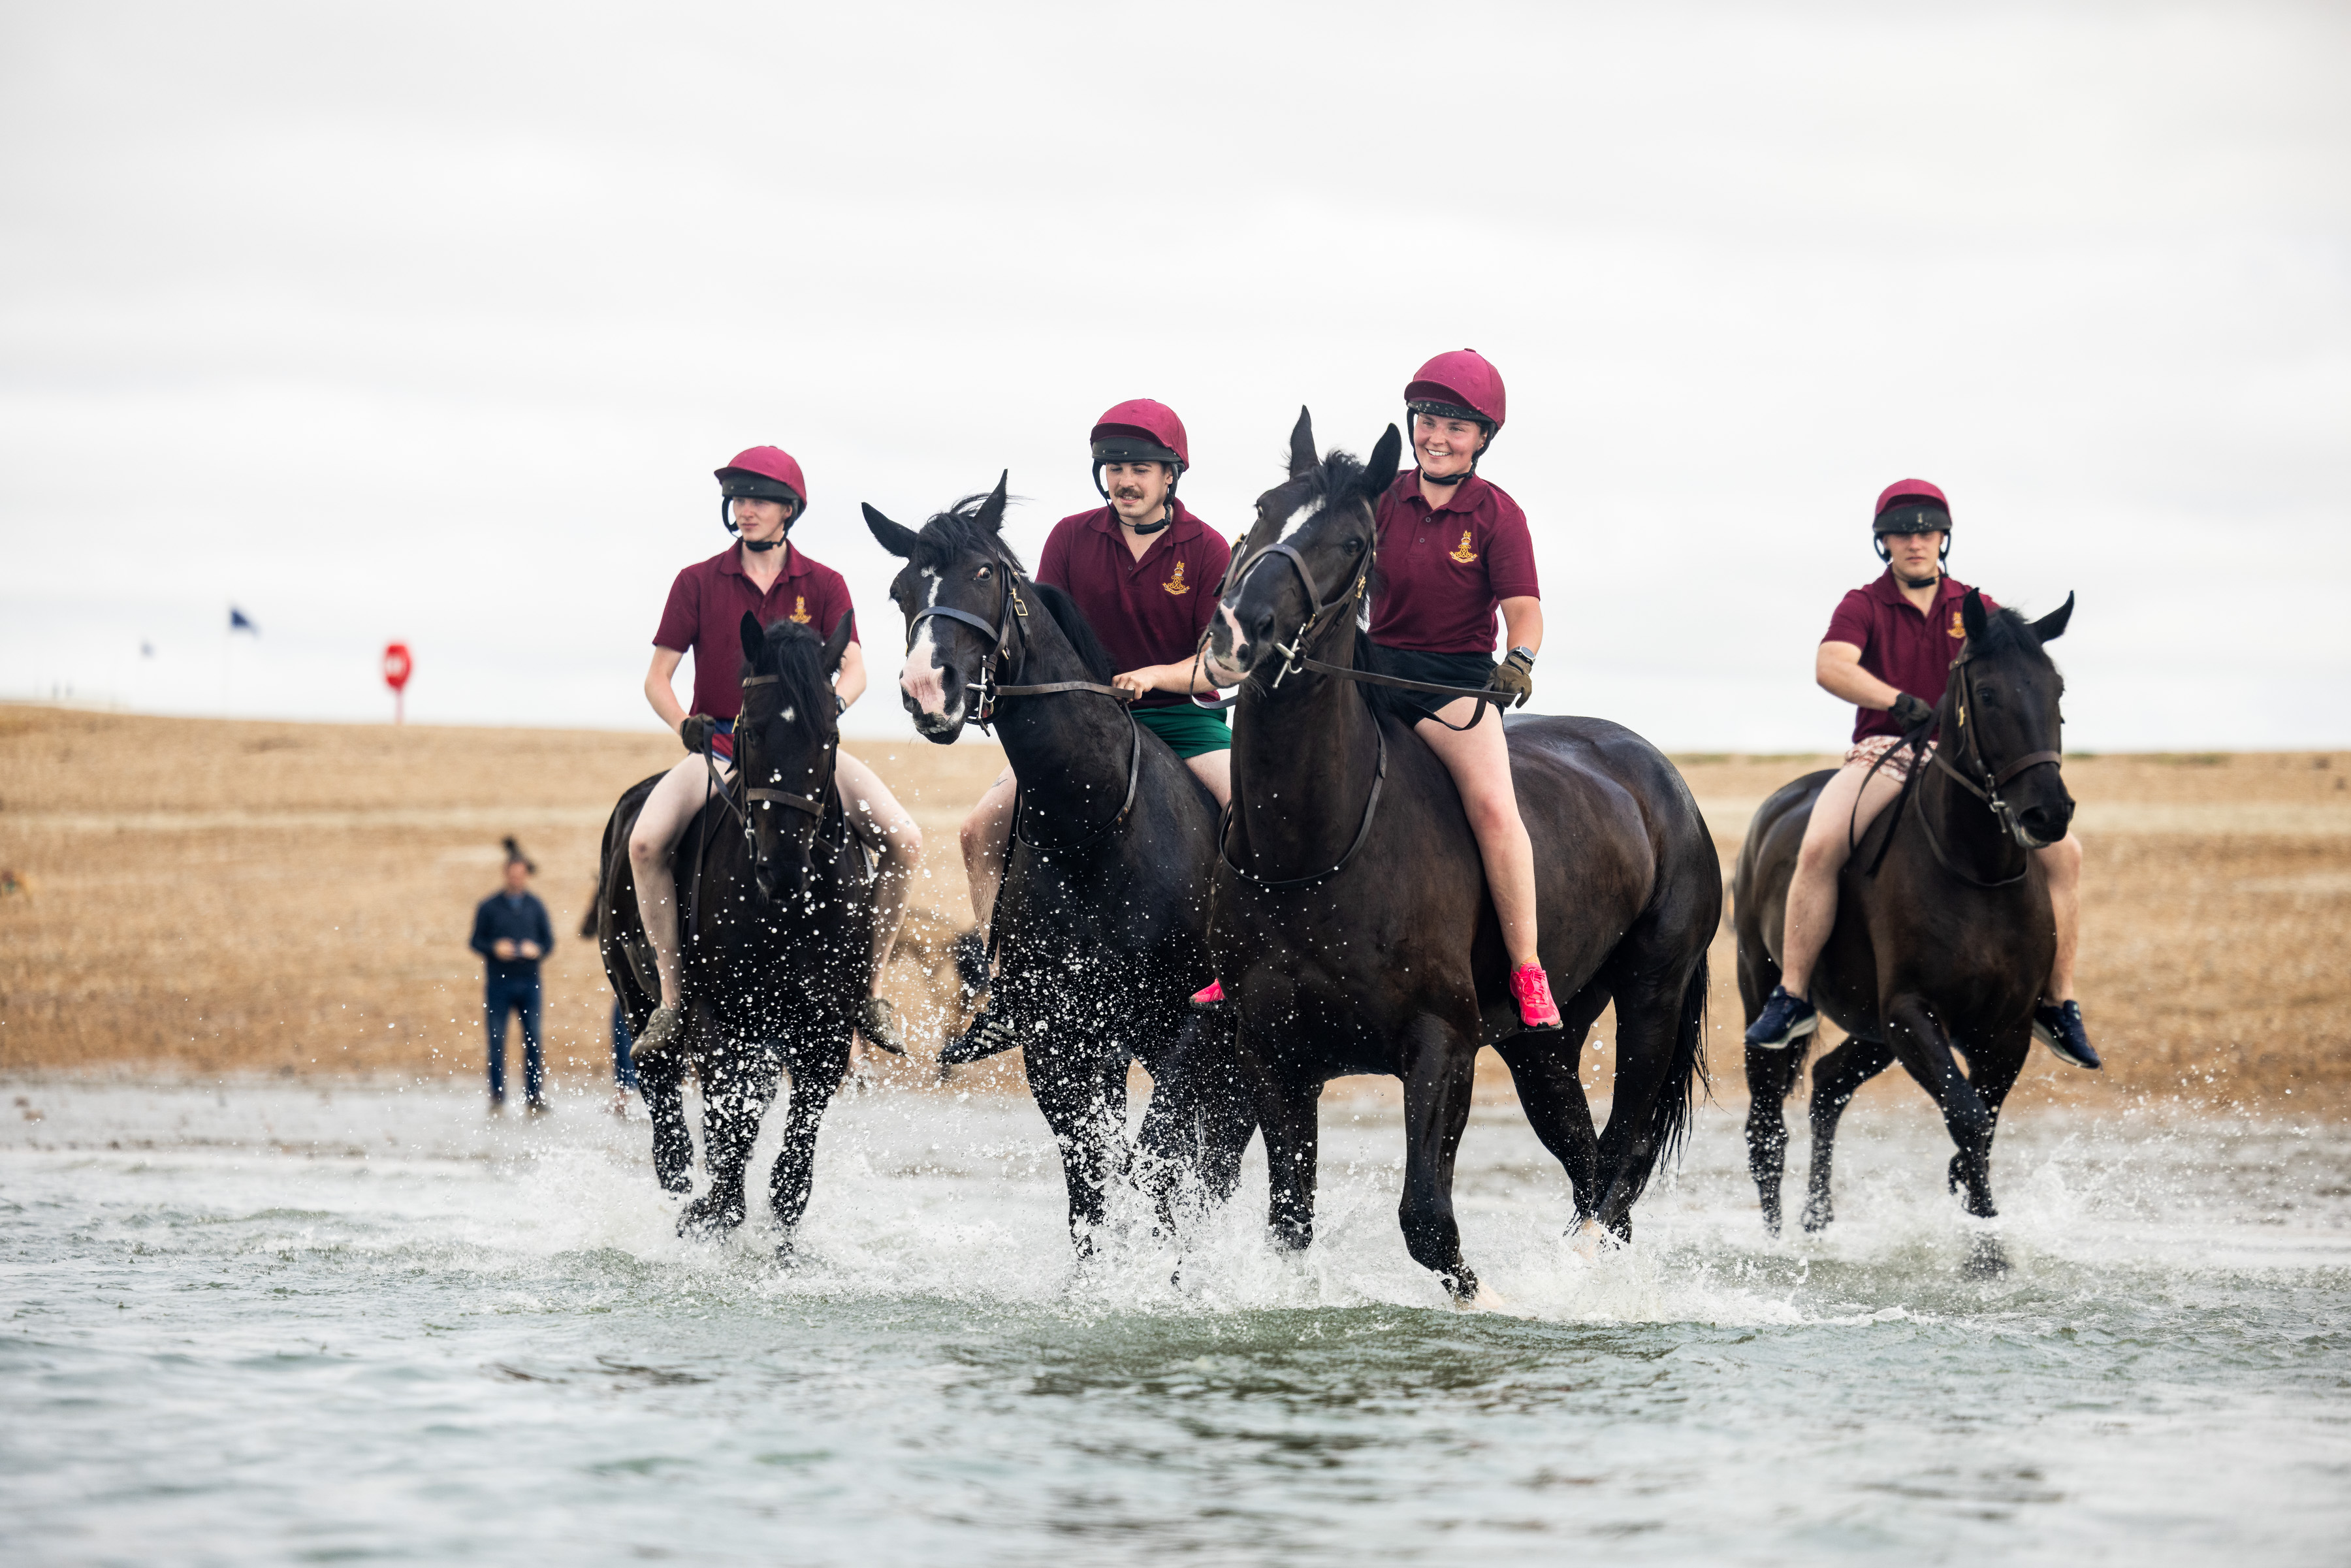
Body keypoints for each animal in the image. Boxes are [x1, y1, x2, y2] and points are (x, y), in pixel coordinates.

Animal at [594, 611, 872, 1248]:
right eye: (754, 733)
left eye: (830, 736)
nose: (783, 867)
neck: (787, 911)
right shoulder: (720, 1016)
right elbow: (730, 1116)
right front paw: (712, 1212)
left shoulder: (826, 1026)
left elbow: (795, 1141)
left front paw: (779, 1230)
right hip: (633, 988)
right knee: (661, 1087)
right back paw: (676, 1176)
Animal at [864, 477, 1256, 1253]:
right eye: (900, 591)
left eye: (986, 573)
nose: (928, 689)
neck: (1096, 828)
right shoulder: (1063, 1040)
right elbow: (1094, 1189)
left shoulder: (1177, 1032)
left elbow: (1166, 1175)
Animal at [1199, 411, 1720, 1302]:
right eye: (1265, 508)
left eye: (1352, 541)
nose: (1237, 635)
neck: (1316, 848)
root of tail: (1663, 778)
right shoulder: (1277, 1057)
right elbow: (1290, 1223)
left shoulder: (1441, 1048)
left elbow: (1427, 1220)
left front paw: (1493, 1302)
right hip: (1543, 1043)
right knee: (1589, 1164)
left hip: (1652, 998)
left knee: (1617, 1169)